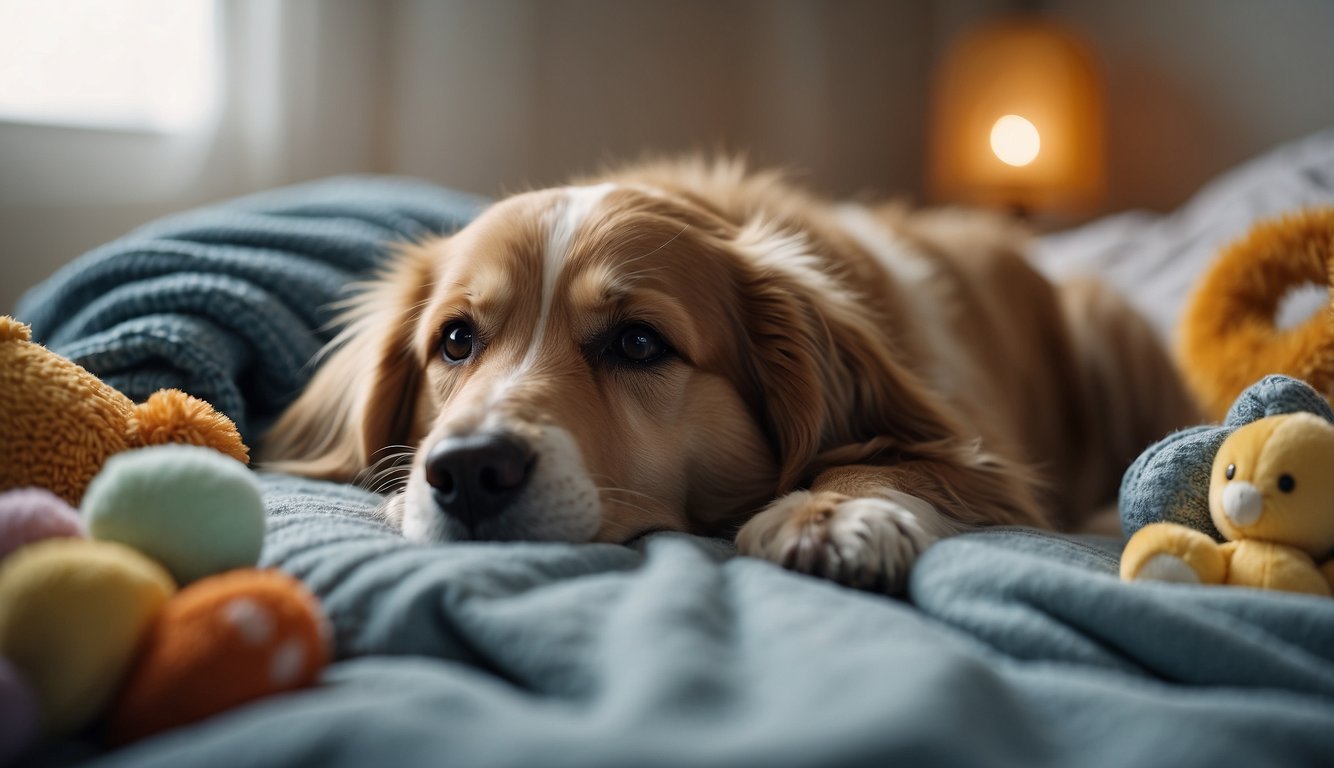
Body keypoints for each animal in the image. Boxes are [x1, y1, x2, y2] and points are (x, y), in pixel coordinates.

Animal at [260, 158, 1200, 592]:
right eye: (455, 341)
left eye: (639, 344)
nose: (467, 473)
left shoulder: (982, 454)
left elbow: (889, 456)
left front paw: (832, 511)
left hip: (1103, 316)